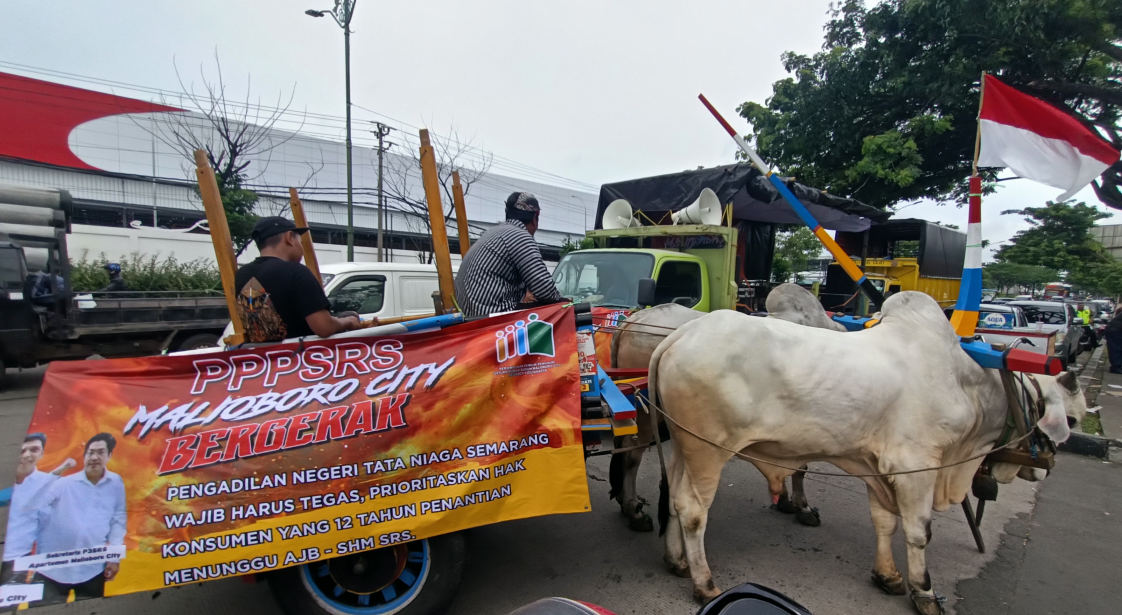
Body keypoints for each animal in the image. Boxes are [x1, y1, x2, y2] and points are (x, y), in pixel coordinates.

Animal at [610, 286, 843, 531]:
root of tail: (635, 319)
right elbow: (800, 467)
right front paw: (803, 508)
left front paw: (785, 500)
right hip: (646, 410)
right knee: (632, 455)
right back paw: (634, 511)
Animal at [655, 291, 1081, 614]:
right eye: (1072, 420)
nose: (1046, 468)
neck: (967, 383)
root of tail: (682, 334)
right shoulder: (916, 466)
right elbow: (918, 531)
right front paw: (924, 592)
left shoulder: (878, 467)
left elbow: (884, 522)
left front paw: (887, 575)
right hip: (708, 450)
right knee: (693, 510)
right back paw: (704, 583)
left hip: (682, 447)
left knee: (674, 496)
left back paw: (677, 561)